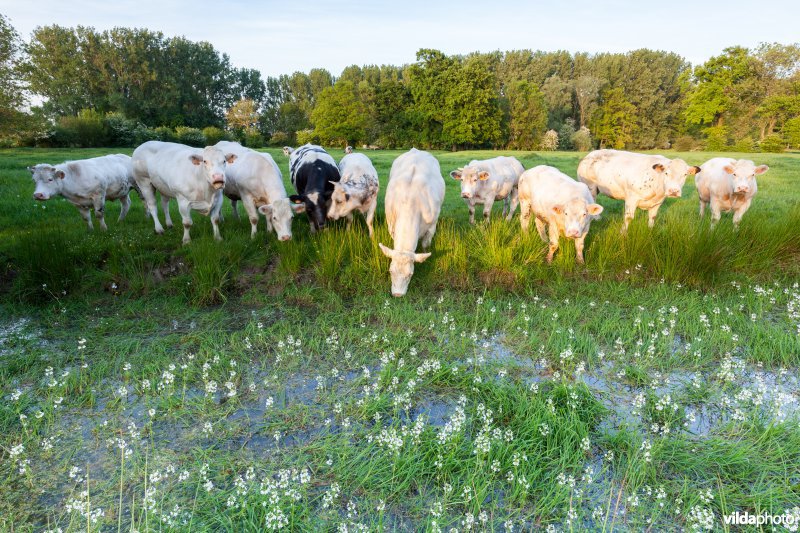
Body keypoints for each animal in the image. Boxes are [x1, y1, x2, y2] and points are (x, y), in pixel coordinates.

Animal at [379, 148, 445, 297]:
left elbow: (426, 245)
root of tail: (416, 150)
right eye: (391, 271)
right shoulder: (391, 225)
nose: (397, 294)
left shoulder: (432, 225)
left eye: (410, 274)